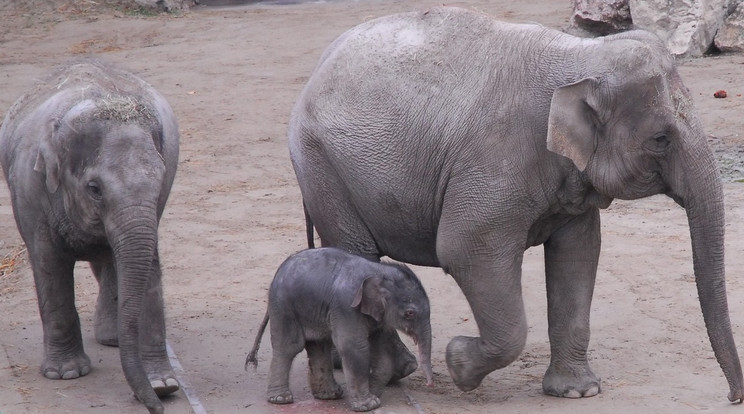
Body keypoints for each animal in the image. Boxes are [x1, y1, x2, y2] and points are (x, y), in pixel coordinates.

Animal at [0, 59, 180, 414]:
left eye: (160, 180)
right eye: (94, 189)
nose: (157, 408)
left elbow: (148, 268)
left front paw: (163, 385)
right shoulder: (31, 192)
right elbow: (49, 266)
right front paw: (66, 374)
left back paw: (113, 339)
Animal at [247, 247, 434, 412]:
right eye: (410, 313)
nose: (429, 384)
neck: (378, 270)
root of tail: (278, 271)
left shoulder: (378, 315)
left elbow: (382, 350)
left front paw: (374, 395)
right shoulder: (347, 306)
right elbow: (354, 347)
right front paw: (369, 405)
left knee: (319, 346)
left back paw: (329, 395)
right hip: (283, 306)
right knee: (289, 347)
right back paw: (281, 399)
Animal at [290, 5, 744, 402]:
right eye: (661, 140)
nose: (731, 396)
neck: (579, 57)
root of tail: (316, 70)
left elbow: (579, 253)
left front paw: (577, 392)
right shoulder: (494, 161)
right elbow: (464, 249)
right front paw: (458, 364)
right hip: (323, 167)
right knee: (358, 254)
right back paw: (394, 371)